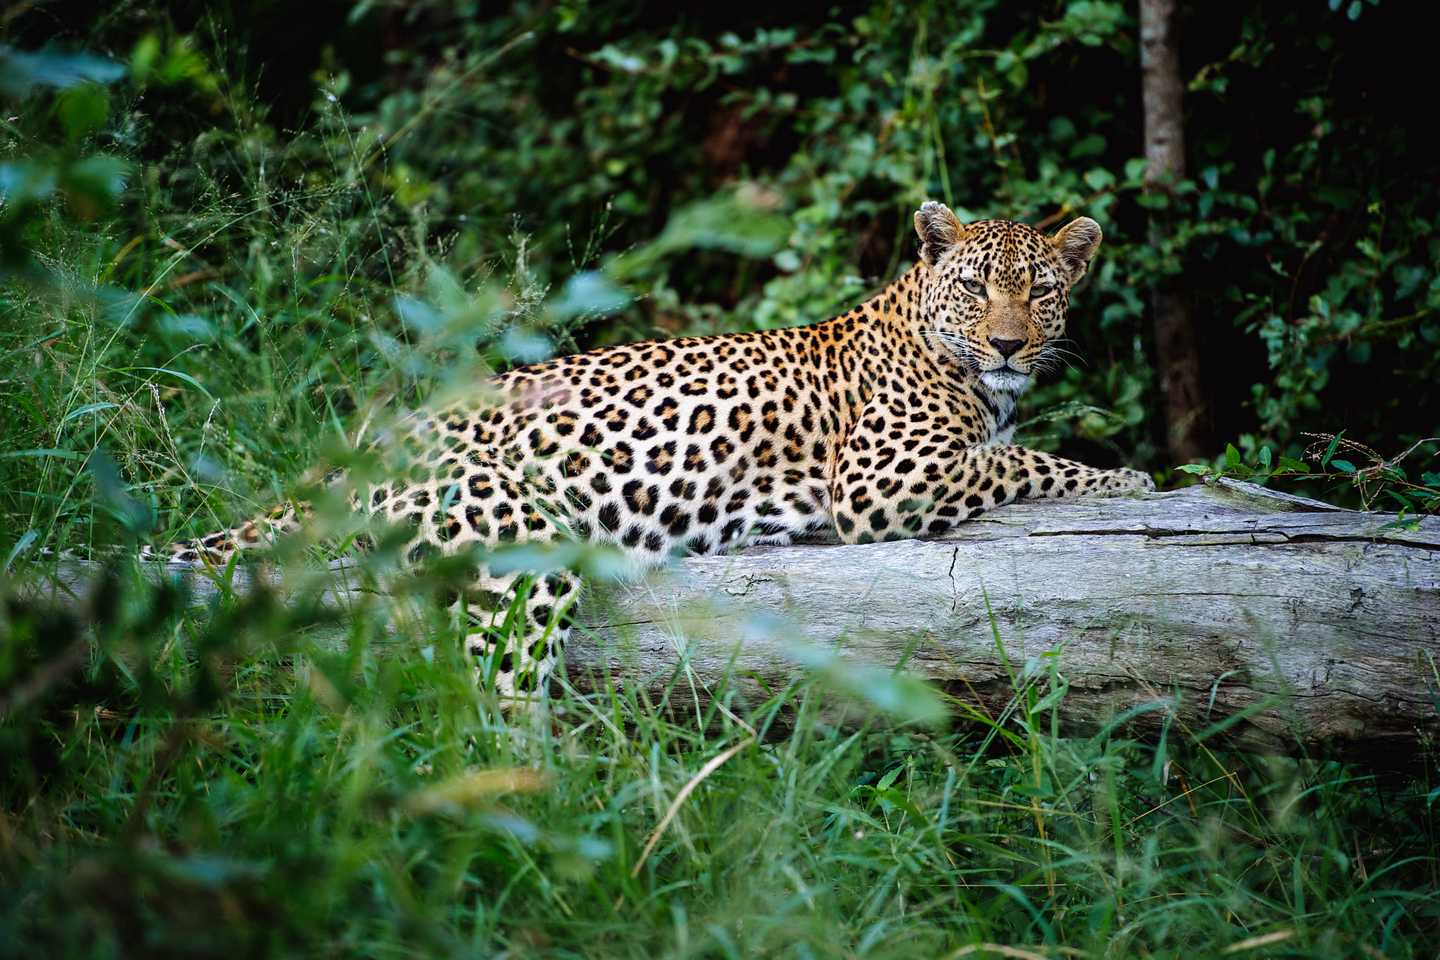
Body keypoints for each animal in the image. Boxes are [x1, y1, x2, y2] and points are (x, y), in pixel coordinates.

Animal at [148, 202, 1155, 698]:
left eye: (1041, 292)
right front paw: (1129, 479)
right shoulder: (885, 478)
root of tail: (356, 451)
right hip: (519, 549)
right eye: (978, 288)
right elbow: (1027, 462)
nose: (1010, 345)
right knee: (490, 704)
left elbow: (1018, 452)